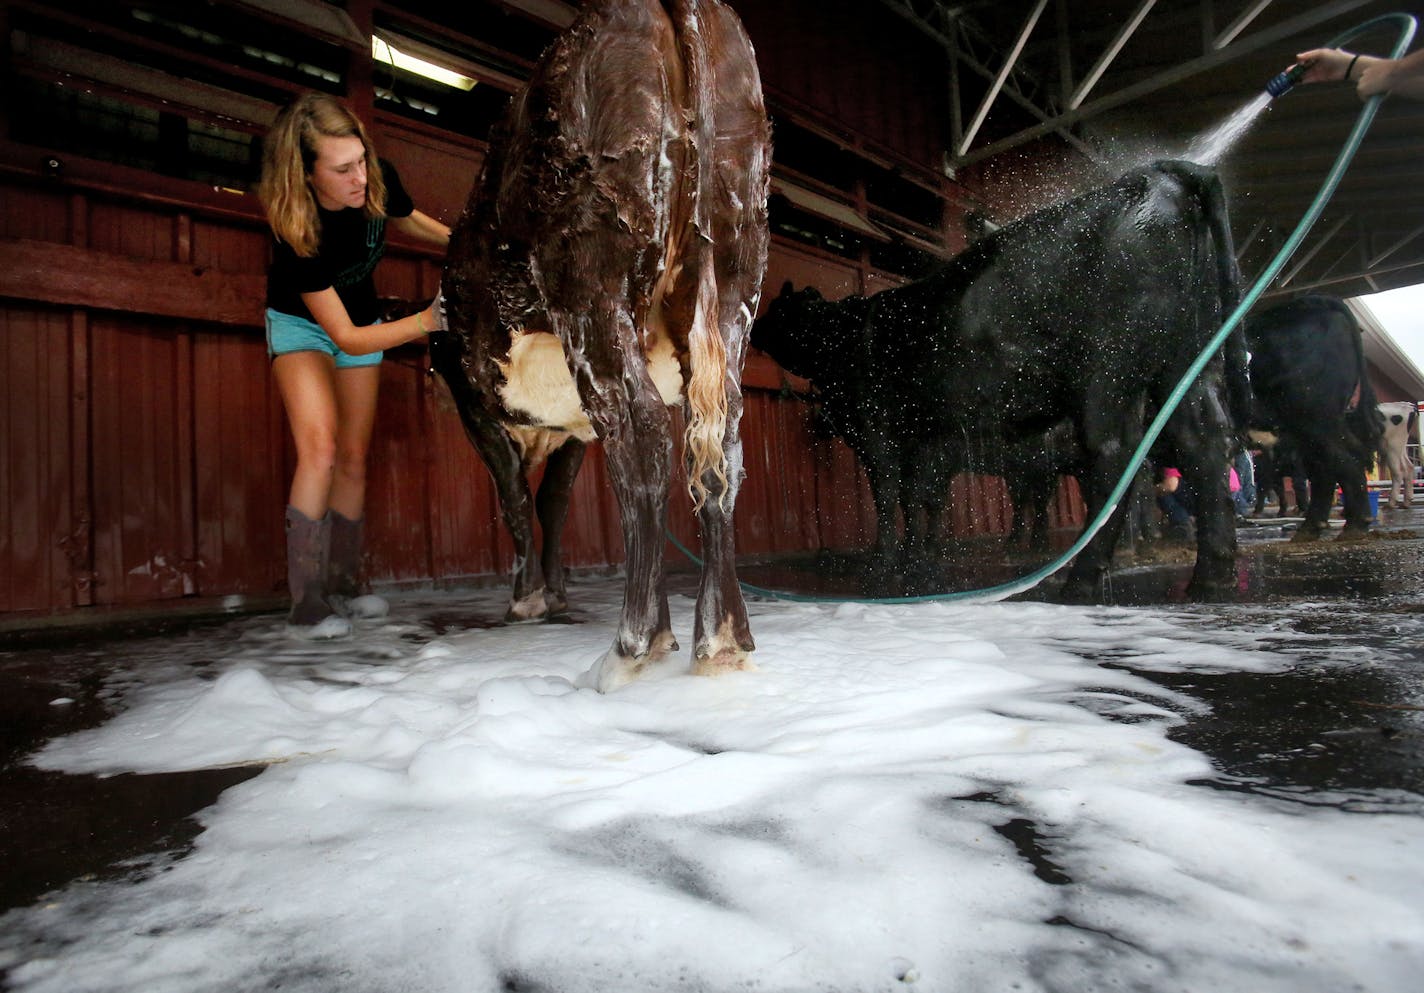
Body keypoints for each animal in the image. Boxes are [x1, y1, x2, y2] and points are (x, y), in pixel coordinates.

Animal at [430, 0, 774, 692]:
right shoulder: (568, 430)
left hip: (588, 277)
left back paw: (635, 646)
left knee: (643, 434)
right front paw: (555, 593)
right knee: (720, 445)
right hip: (733, 280)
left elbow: (517, 498)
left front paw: (528, 599)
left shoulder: (478, 405)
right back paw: (723, 639)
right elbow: (556, 501)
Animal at [751, 158, 1253, 601]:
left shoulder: (876, 427)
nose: (752, 328)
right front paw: (915, 561)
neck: (844, 336)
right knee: (1203, 441)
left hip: (1108, 369)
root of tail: (1157, 174)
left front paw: (882, 564)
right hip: (1186, 358)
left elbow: (890, 493)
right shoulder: (923, 436)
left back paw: (1080, 581)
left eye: (774, 309)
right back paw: (1212, 579)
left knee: (1116, 455)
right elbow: (916, 497)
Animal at [1247, 294, 1378, 541]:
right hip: (1317, 426)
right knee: (1331, 464)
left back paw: (1353, 525)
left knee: (1339, 461)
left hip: (1314, 418)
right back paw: (1313, 527)